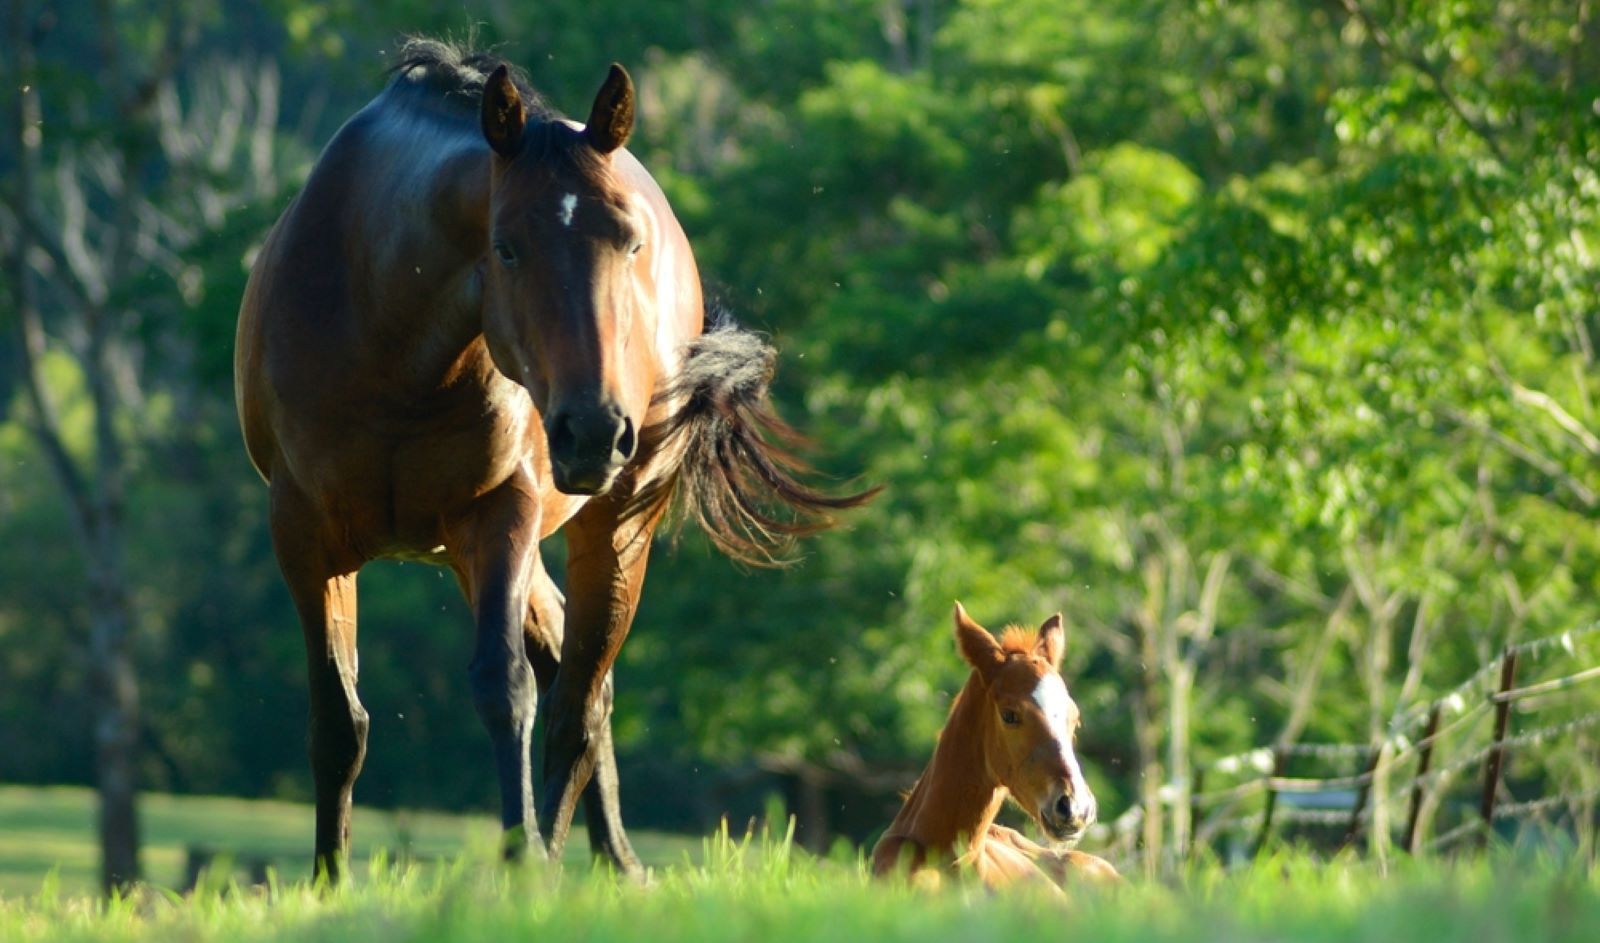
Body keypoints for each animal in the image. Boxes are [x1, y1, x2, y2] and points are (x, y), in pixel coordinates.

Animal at [234, 39, 873, 881]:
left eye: (629, 242)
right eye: (506, 246)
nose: (594, 431)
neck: (388, 342)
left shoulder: (500, 511)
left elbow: (505, 687)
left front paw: (523, 857)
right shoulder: (305, 532)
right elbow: (340, 719)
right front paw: (328, 881)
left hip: (610, 525)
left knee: (580, 700)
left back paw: (568, 861)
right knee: (569, 667)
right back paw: (611, 858)